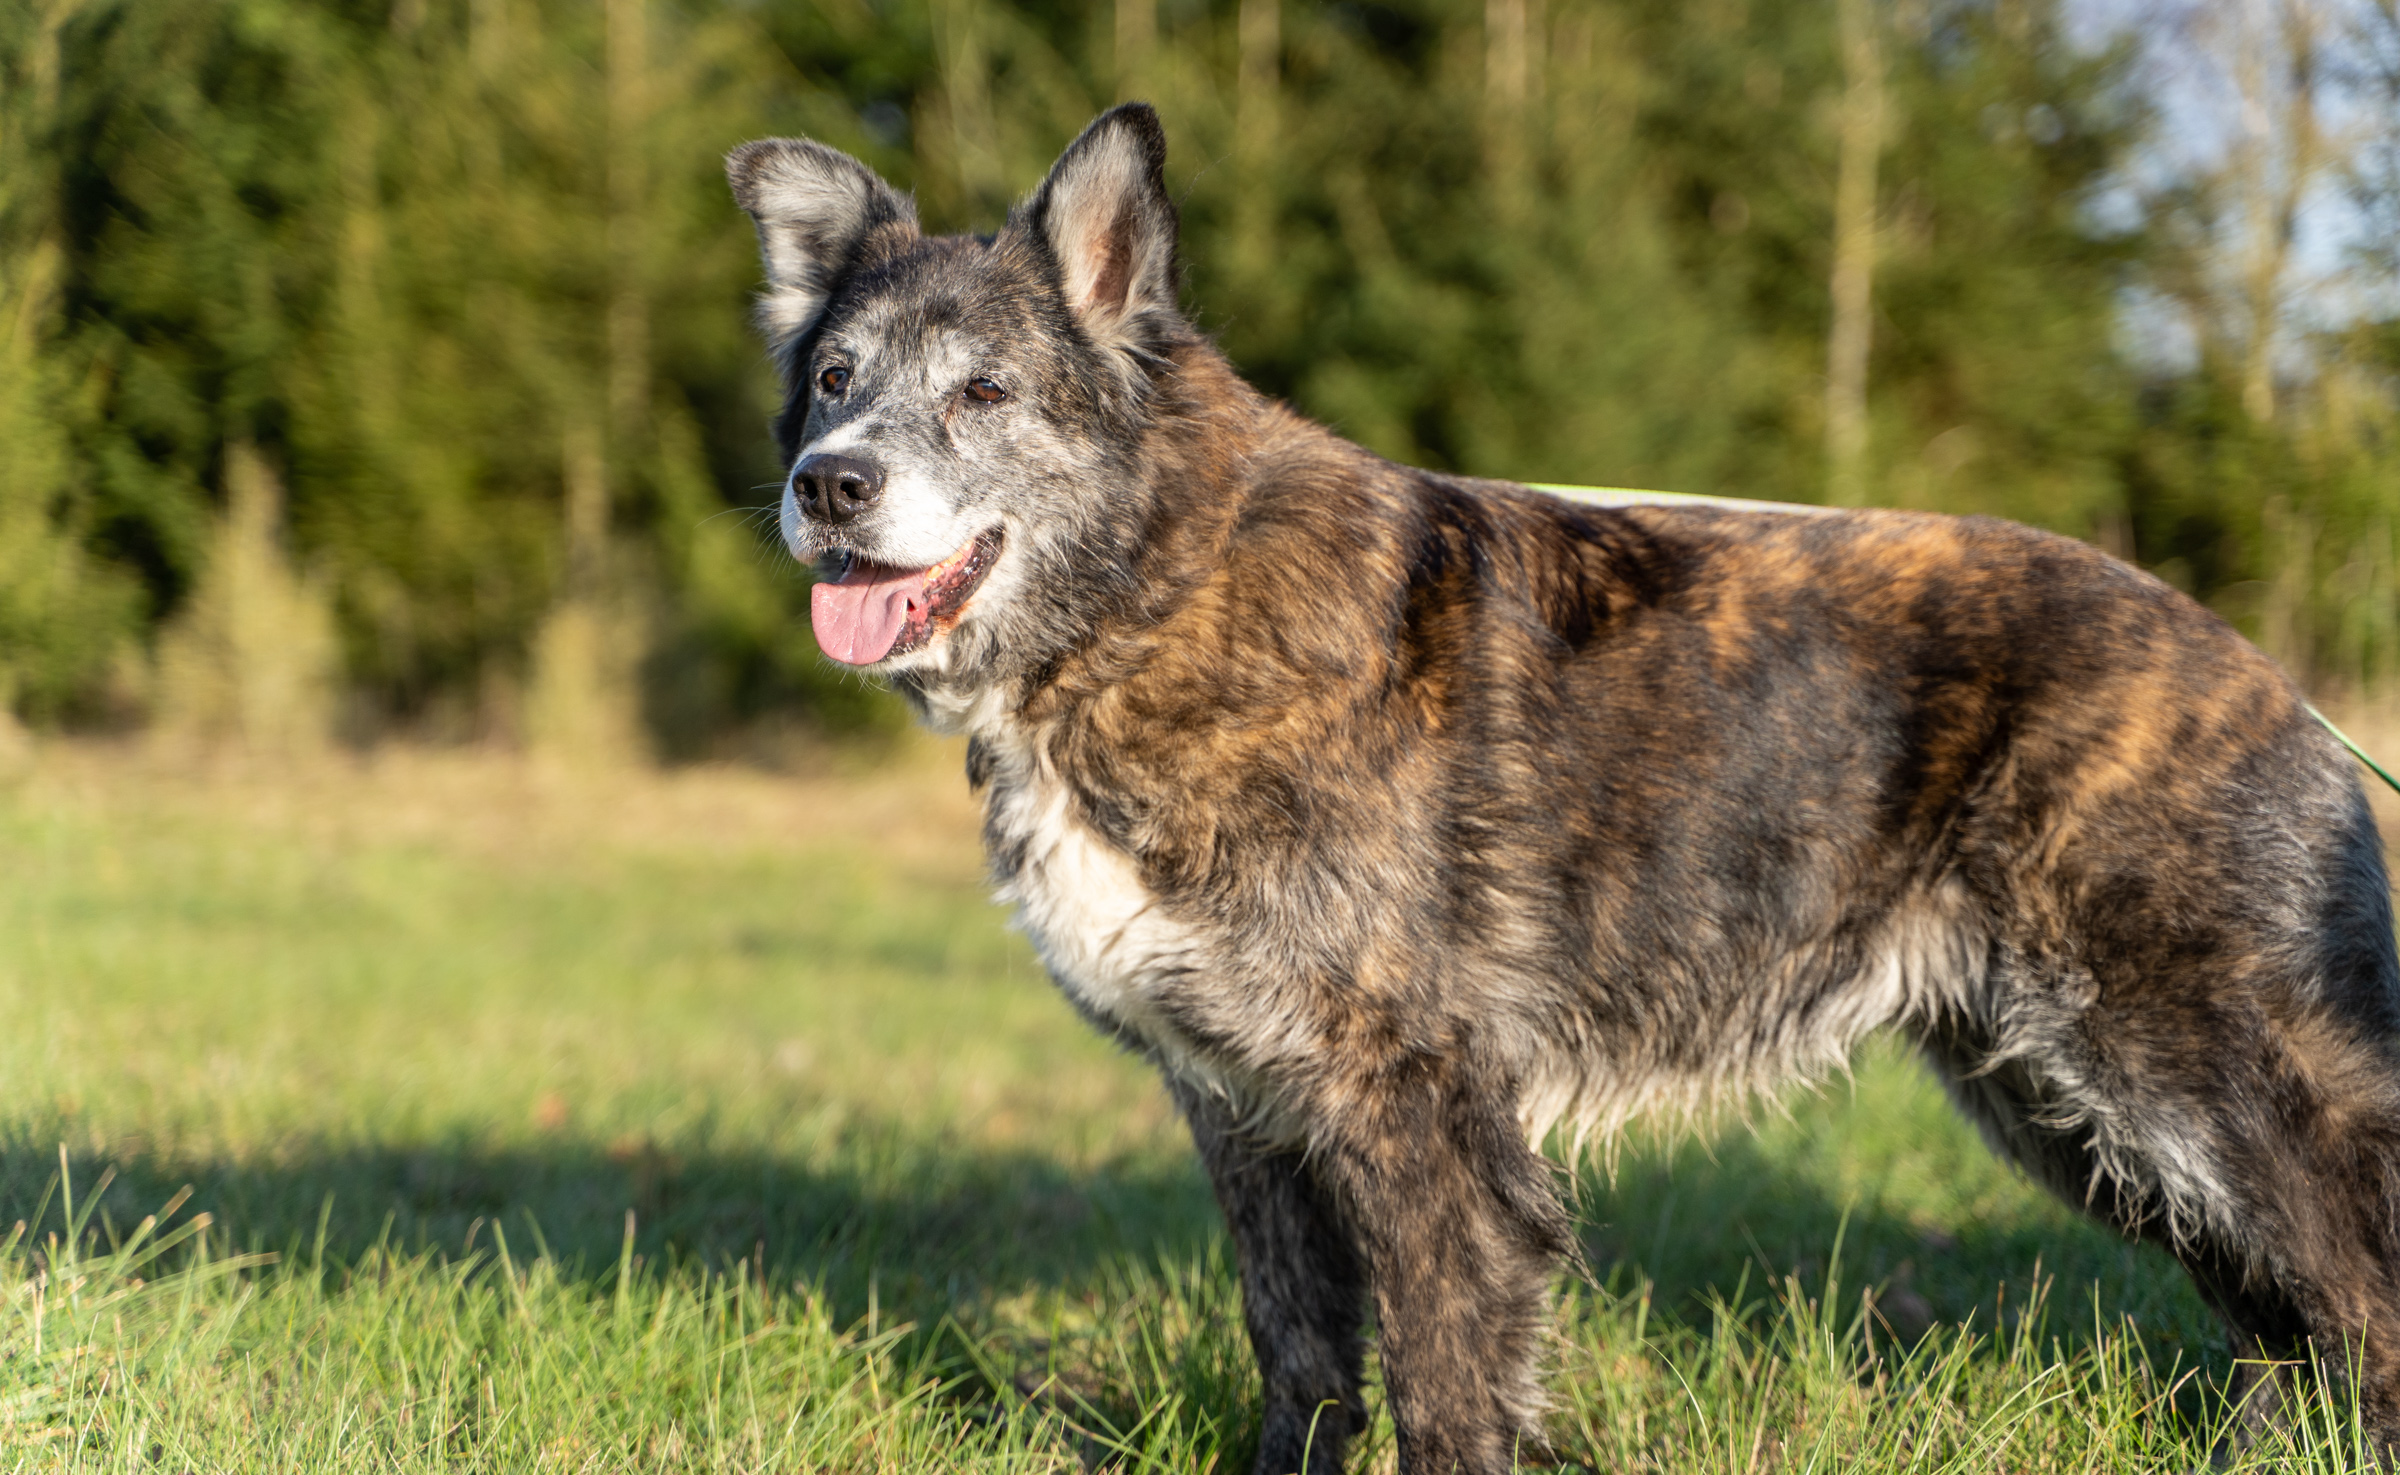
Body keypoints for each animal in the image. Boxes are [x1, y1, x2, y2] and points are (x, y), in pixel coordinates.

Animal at [727, 104, 2400, 1473]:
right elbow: (1302, 1363)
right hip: (2063, 1098)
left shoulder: (1423, 1114)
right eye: (833, 379)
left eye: (985, 389)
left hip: (2195, 1070)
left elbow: (1446, 1389)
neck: (1159, 585)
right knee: (2285, 1318)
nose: (829, 484)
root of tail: (2268, 679)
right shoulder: (1249, 1113)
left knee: (2358, 1288)